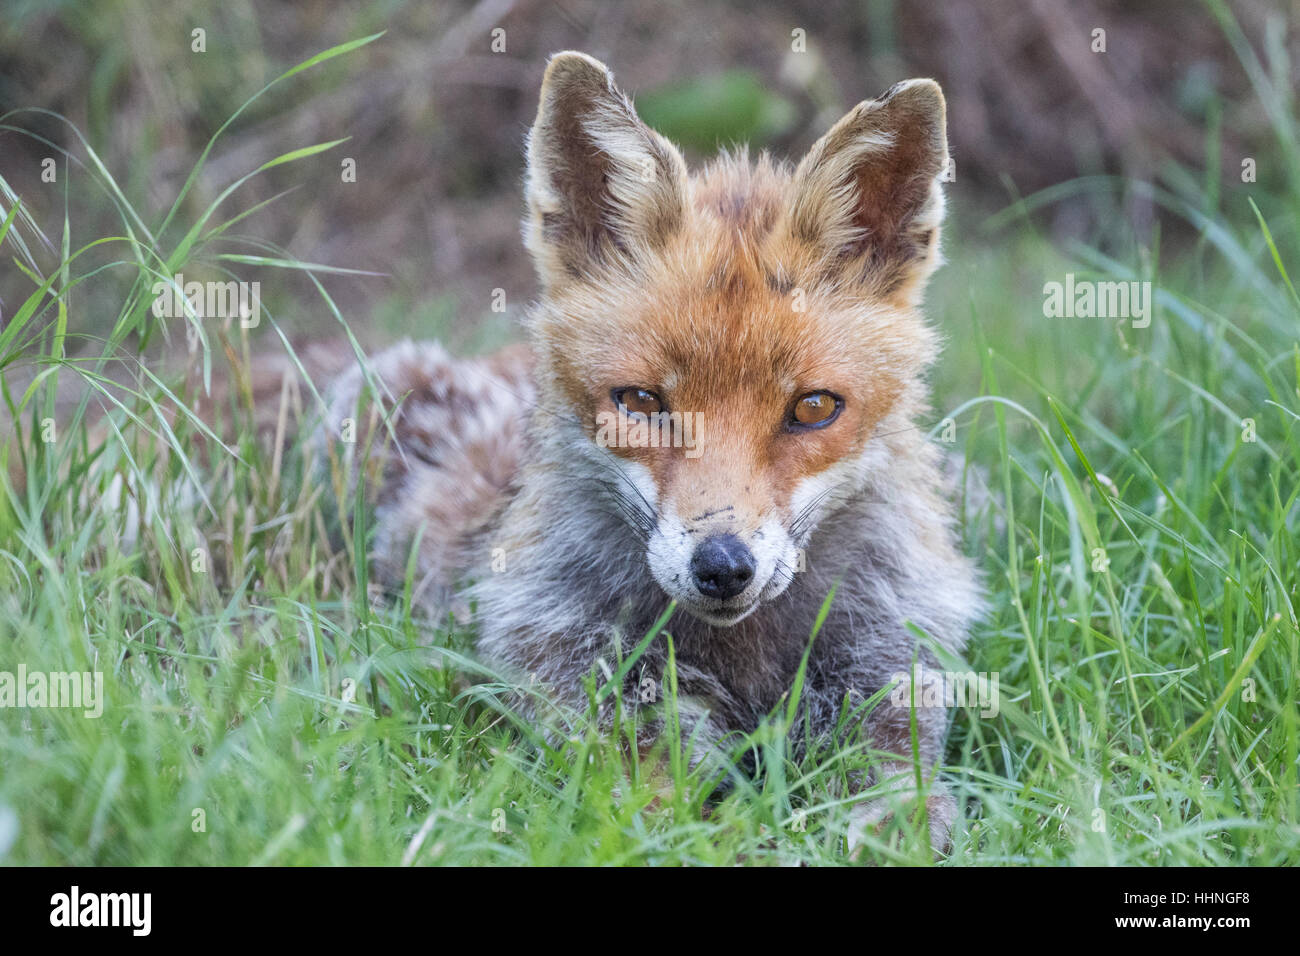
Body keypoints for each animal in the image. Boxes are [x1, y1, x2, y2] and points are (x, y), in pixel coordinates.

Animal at [322, 52, 977, 848]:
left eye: (814, 408)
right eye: (639, 403)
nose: (723, 566)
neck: (742, 662)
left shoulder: (883, 680)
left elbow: (896, 809)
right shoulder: (599, 700)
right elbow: (654, 814)